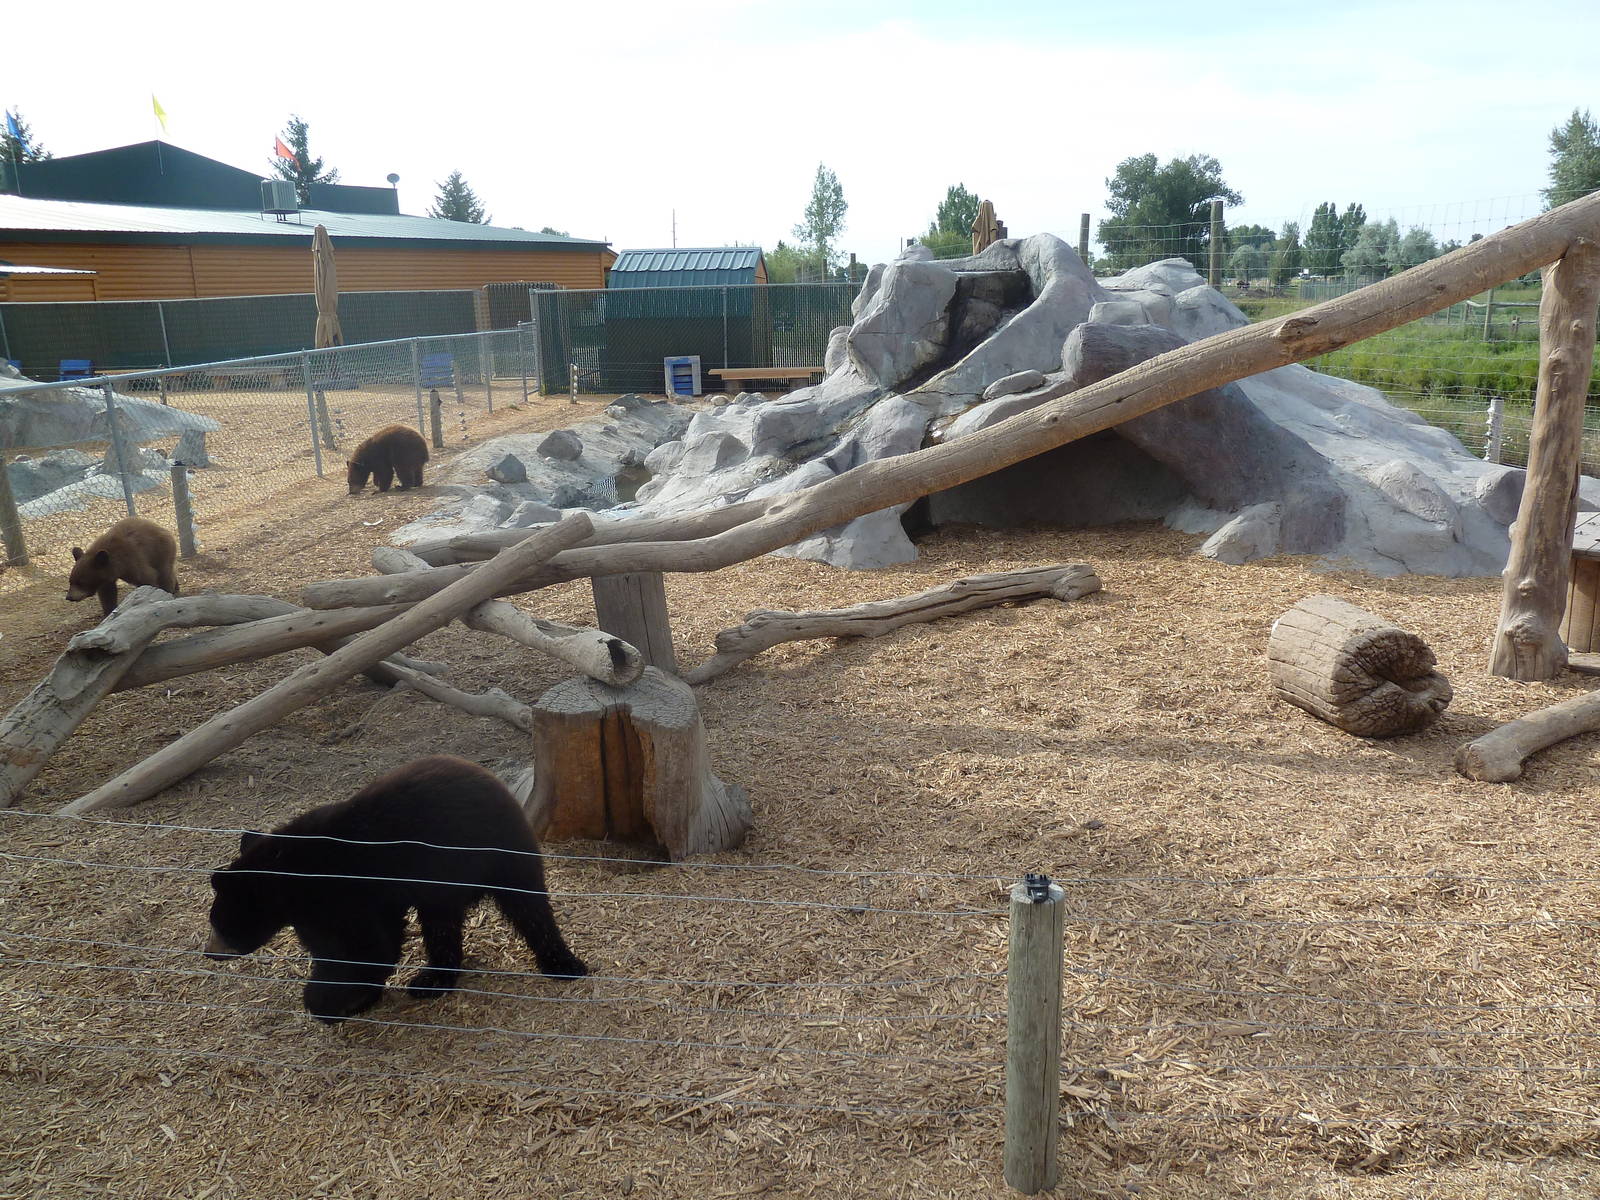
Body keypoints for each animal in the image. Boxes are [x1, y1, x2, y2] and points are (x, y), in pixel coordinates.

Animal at [205, 755, 587, 1023]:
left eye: (216, 922)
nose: (209, 952)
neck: (290, 877)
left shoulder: (341, 892)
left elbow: (362, 947)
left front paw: (329, 1000)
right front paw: (355, 996)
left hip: (497, 849)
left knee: (528, 905)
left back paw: (563, 964)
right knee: (447, 924)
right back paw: (433, 979)